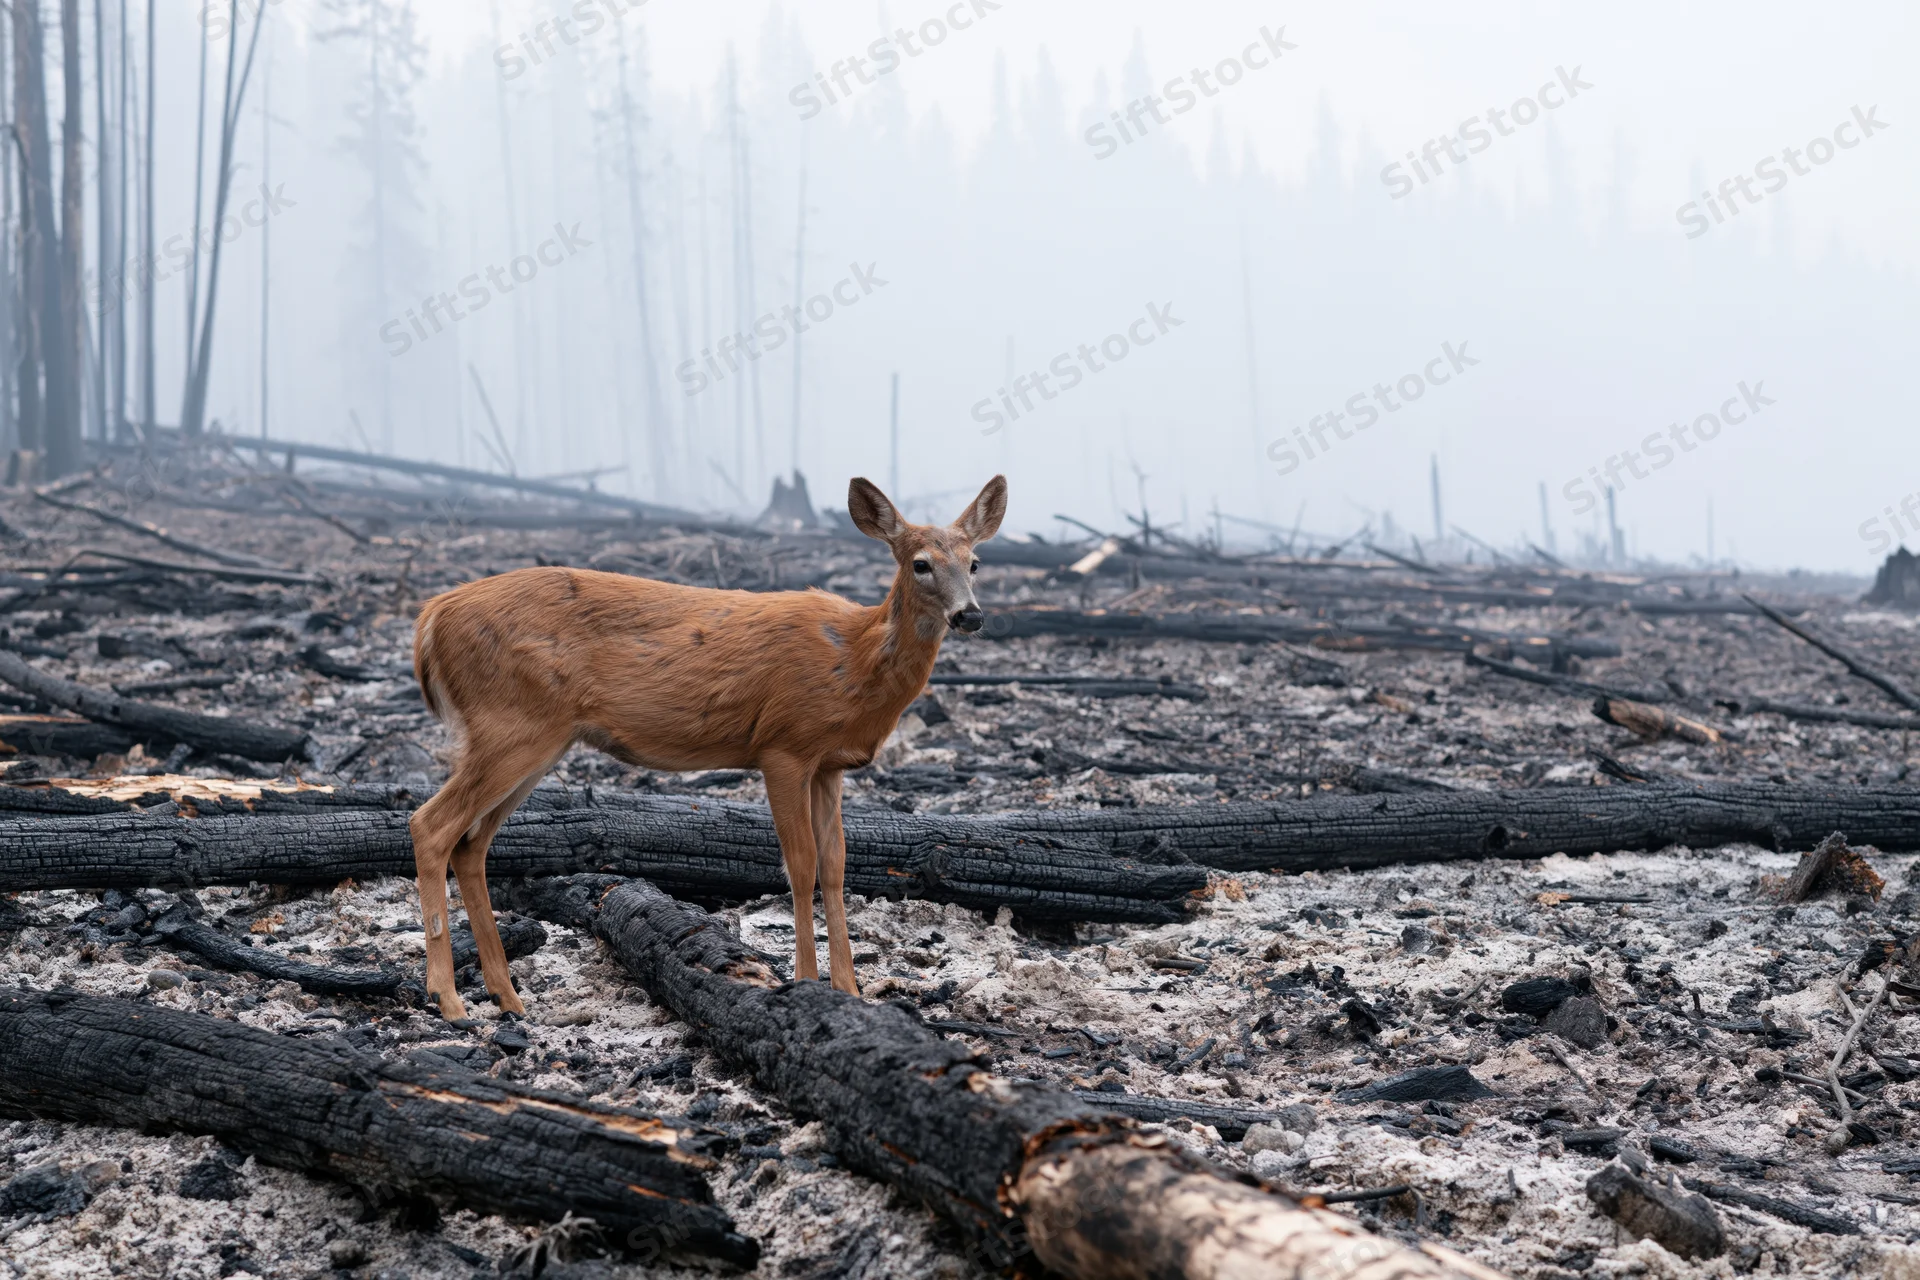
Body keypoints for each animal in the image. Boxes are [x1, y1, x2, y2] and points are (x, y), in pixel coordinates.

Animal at [406, 475, 1007, 1021]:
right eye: (920, 563)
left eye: (975, 563)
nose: (971, 615)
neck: (855, 663)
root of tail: (430, 617)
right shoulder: (783, 746)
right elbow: (800, 864)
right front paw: (806, 983)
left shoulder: (829, 765)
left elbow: (837, 866)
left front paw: (851, 991)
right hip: (510, 724)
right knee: (430, 825)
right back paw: (449, 999)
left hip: (533, 739)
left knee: (471, 844)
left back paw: (507, 997)